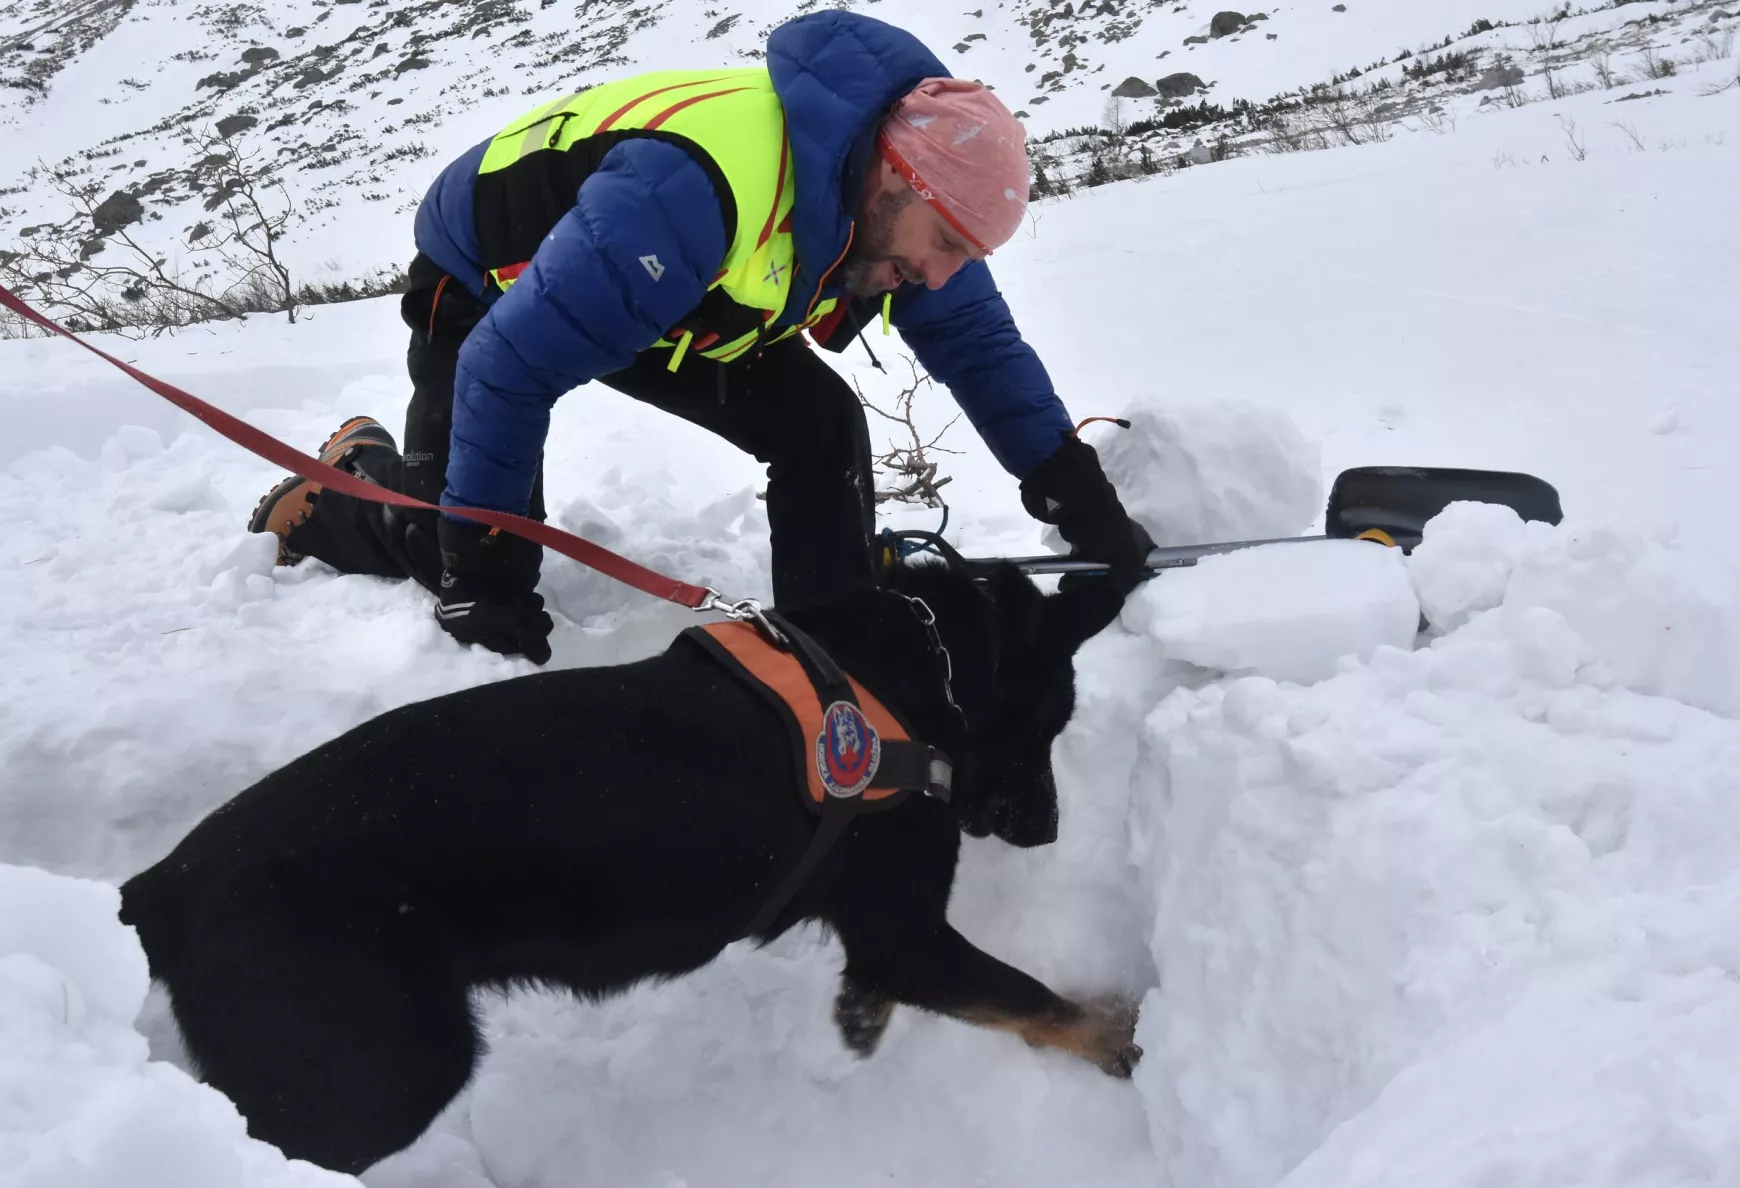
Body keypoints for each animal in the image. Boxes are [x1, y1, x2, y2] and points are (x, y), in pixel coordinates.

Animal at [119, 563, 1141, 1175]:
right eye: (1052, 722)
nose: (1047, 831)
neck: (925, 664)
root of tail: (164, 886)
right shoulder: (910, 933)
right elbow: (1036, 1001)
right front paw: (1122, 1042)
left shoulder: (889, 938)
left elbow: (895, 986)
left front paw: (858, 1019)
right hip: (378, 1077)